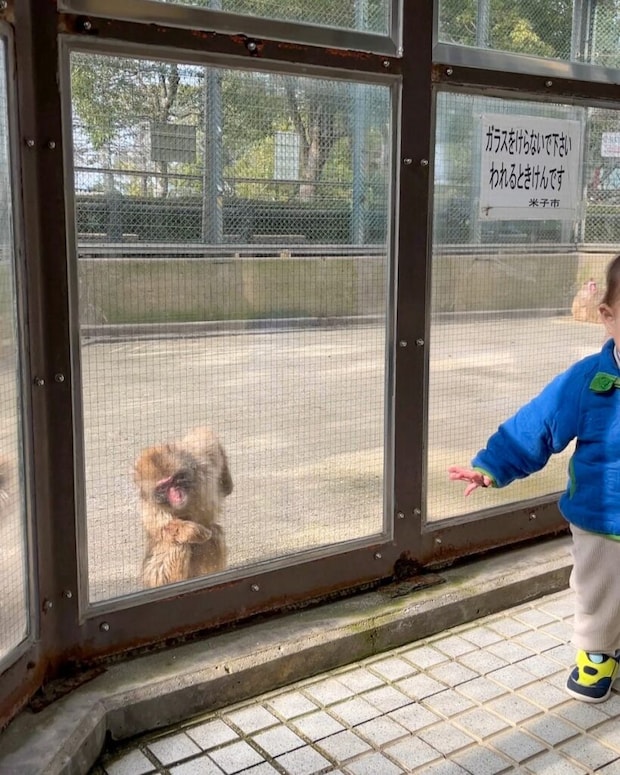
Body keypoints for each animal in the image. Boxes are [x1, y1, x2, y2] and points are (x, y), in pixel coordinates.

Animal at [134, 427, 233, 588]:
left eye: (176, 480)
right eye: (163, 487)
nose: (177, 494)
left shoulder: (201, 461)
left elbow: (206, 436)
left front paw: (227, 482)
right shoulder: (149, 505)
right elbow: (163, 529)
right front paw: (195, 531)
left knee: (215, 535)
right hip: (152, 578)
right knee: (178, 545)